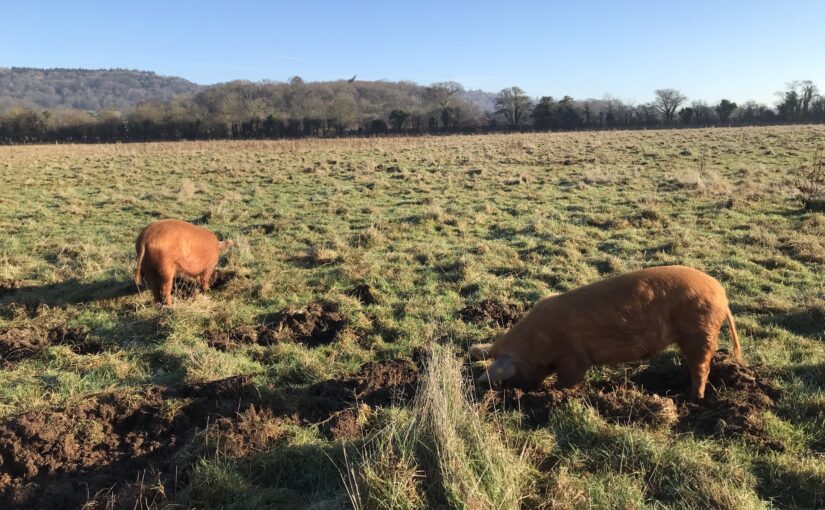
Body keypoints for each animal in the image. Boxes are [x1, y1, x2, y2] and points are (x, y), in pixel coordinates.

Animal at [470, 265, 741, 399]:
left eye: (508, 375)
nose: (518, 392)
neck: (537, 341)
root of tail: (723, 295)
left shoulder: (574, 358)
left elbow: (570, 380)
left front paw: (558, 394)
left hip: (700, 331)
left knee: (701, 368)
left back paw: (693, 398)